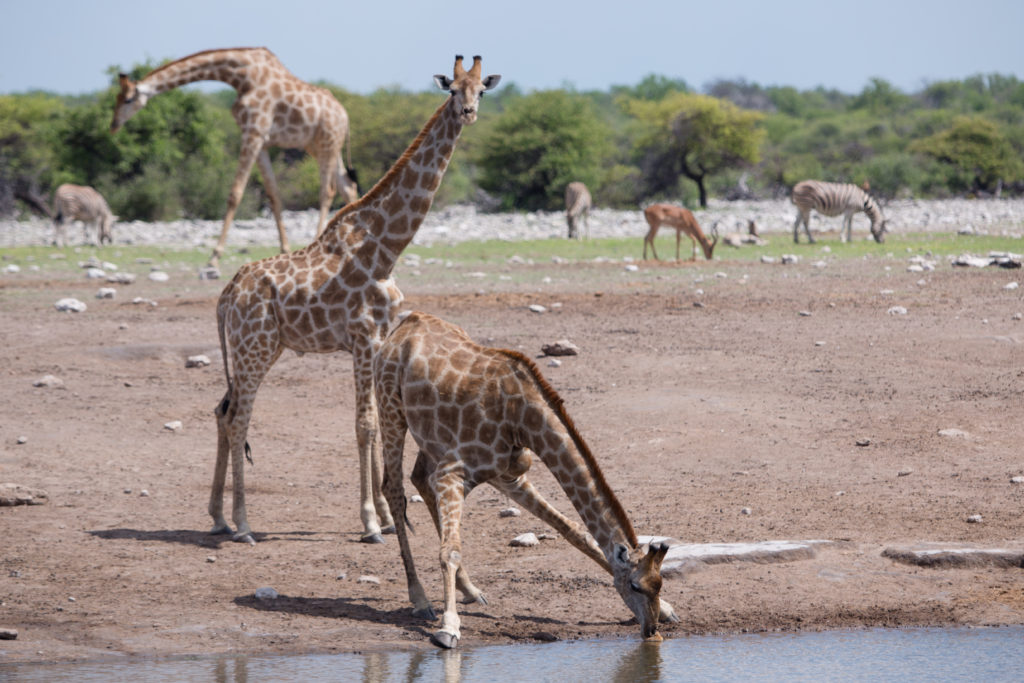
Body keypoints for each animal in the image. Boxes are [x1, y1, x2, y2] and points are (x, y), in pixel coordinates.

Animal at [111, 46, 360, 266]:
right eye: (116, 98)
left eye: (128, 100)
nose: (113, 125)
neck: (241, 76)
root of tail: (346, 116)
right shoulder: (261, 141)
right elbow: (274, 195)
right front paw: (284, 249)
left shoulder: (253, 133)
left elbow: (235, 193)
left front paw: (214, 257)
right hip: (319, 147)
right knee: (347, 187)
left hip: (327, 144)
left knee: (327, 192)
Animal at [211, 54, 499, 544]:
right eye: (452, 89)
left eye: (481, 89)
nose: (468, 113)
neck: (385, 247)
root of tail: (227, 294)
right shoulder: (363, 338)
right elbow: (365, 426)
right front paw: (370, 522)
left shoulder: (381, 338)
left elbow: (378, 424)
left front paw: (386, 516)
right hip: (255, 348)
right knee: (238, 419)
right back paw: (243, 524)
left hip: (257, 349)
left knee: (221, 409)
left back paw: (217, 517)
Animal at [372, 313, 675, 651]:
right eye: (635, 586)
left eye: (658, 584)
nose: (651, 630)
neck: (523, 419)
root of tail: (408, 322)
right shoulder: (453, 472)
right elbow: (450, 550)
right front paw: (448, 627)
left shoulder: (508, 476)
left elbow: (575, 532)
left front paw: (667, 609)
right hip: (390, 407)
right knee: (394, 490)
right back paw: (421, 599)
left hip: (430, 439)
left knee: (419, 478)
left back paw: (471, 590)